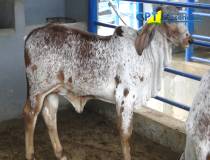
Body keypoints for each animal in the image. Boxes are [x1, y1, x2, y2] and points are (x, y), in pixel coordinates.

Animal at [22, 5, 192, 160]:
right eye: (167, 19)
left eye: (183, 17)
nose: (189, 39)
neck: (146, 53)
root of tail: (32, 34)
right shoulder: (125, 96)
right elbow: (125, 133)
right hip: (38, 90)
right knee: (30, 115)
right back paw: (31, 155)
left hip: (52, 91)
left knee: (49, 117)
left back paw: (60, 153)